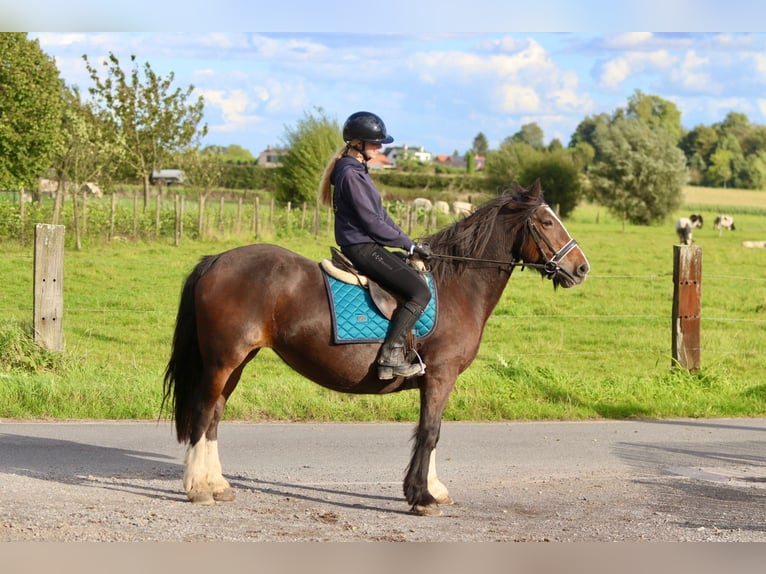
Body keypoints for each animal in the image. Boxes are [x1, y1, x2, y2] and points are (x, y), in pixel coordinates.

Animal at [165, 180, 592, 516]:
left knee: (215, 415)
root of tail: (216, 260)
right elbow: (431, 432)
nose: (582, 267)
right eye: (546, 222)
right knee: (203, 412)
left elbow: (428, 431)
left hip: (235, 361)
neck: (457, 284)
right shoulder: (441, 375)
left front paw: (432, 489)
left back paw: (218, 485)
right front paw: (421, 498)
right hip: (224, 360)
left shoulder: (433, 379)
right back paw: (198, 489)